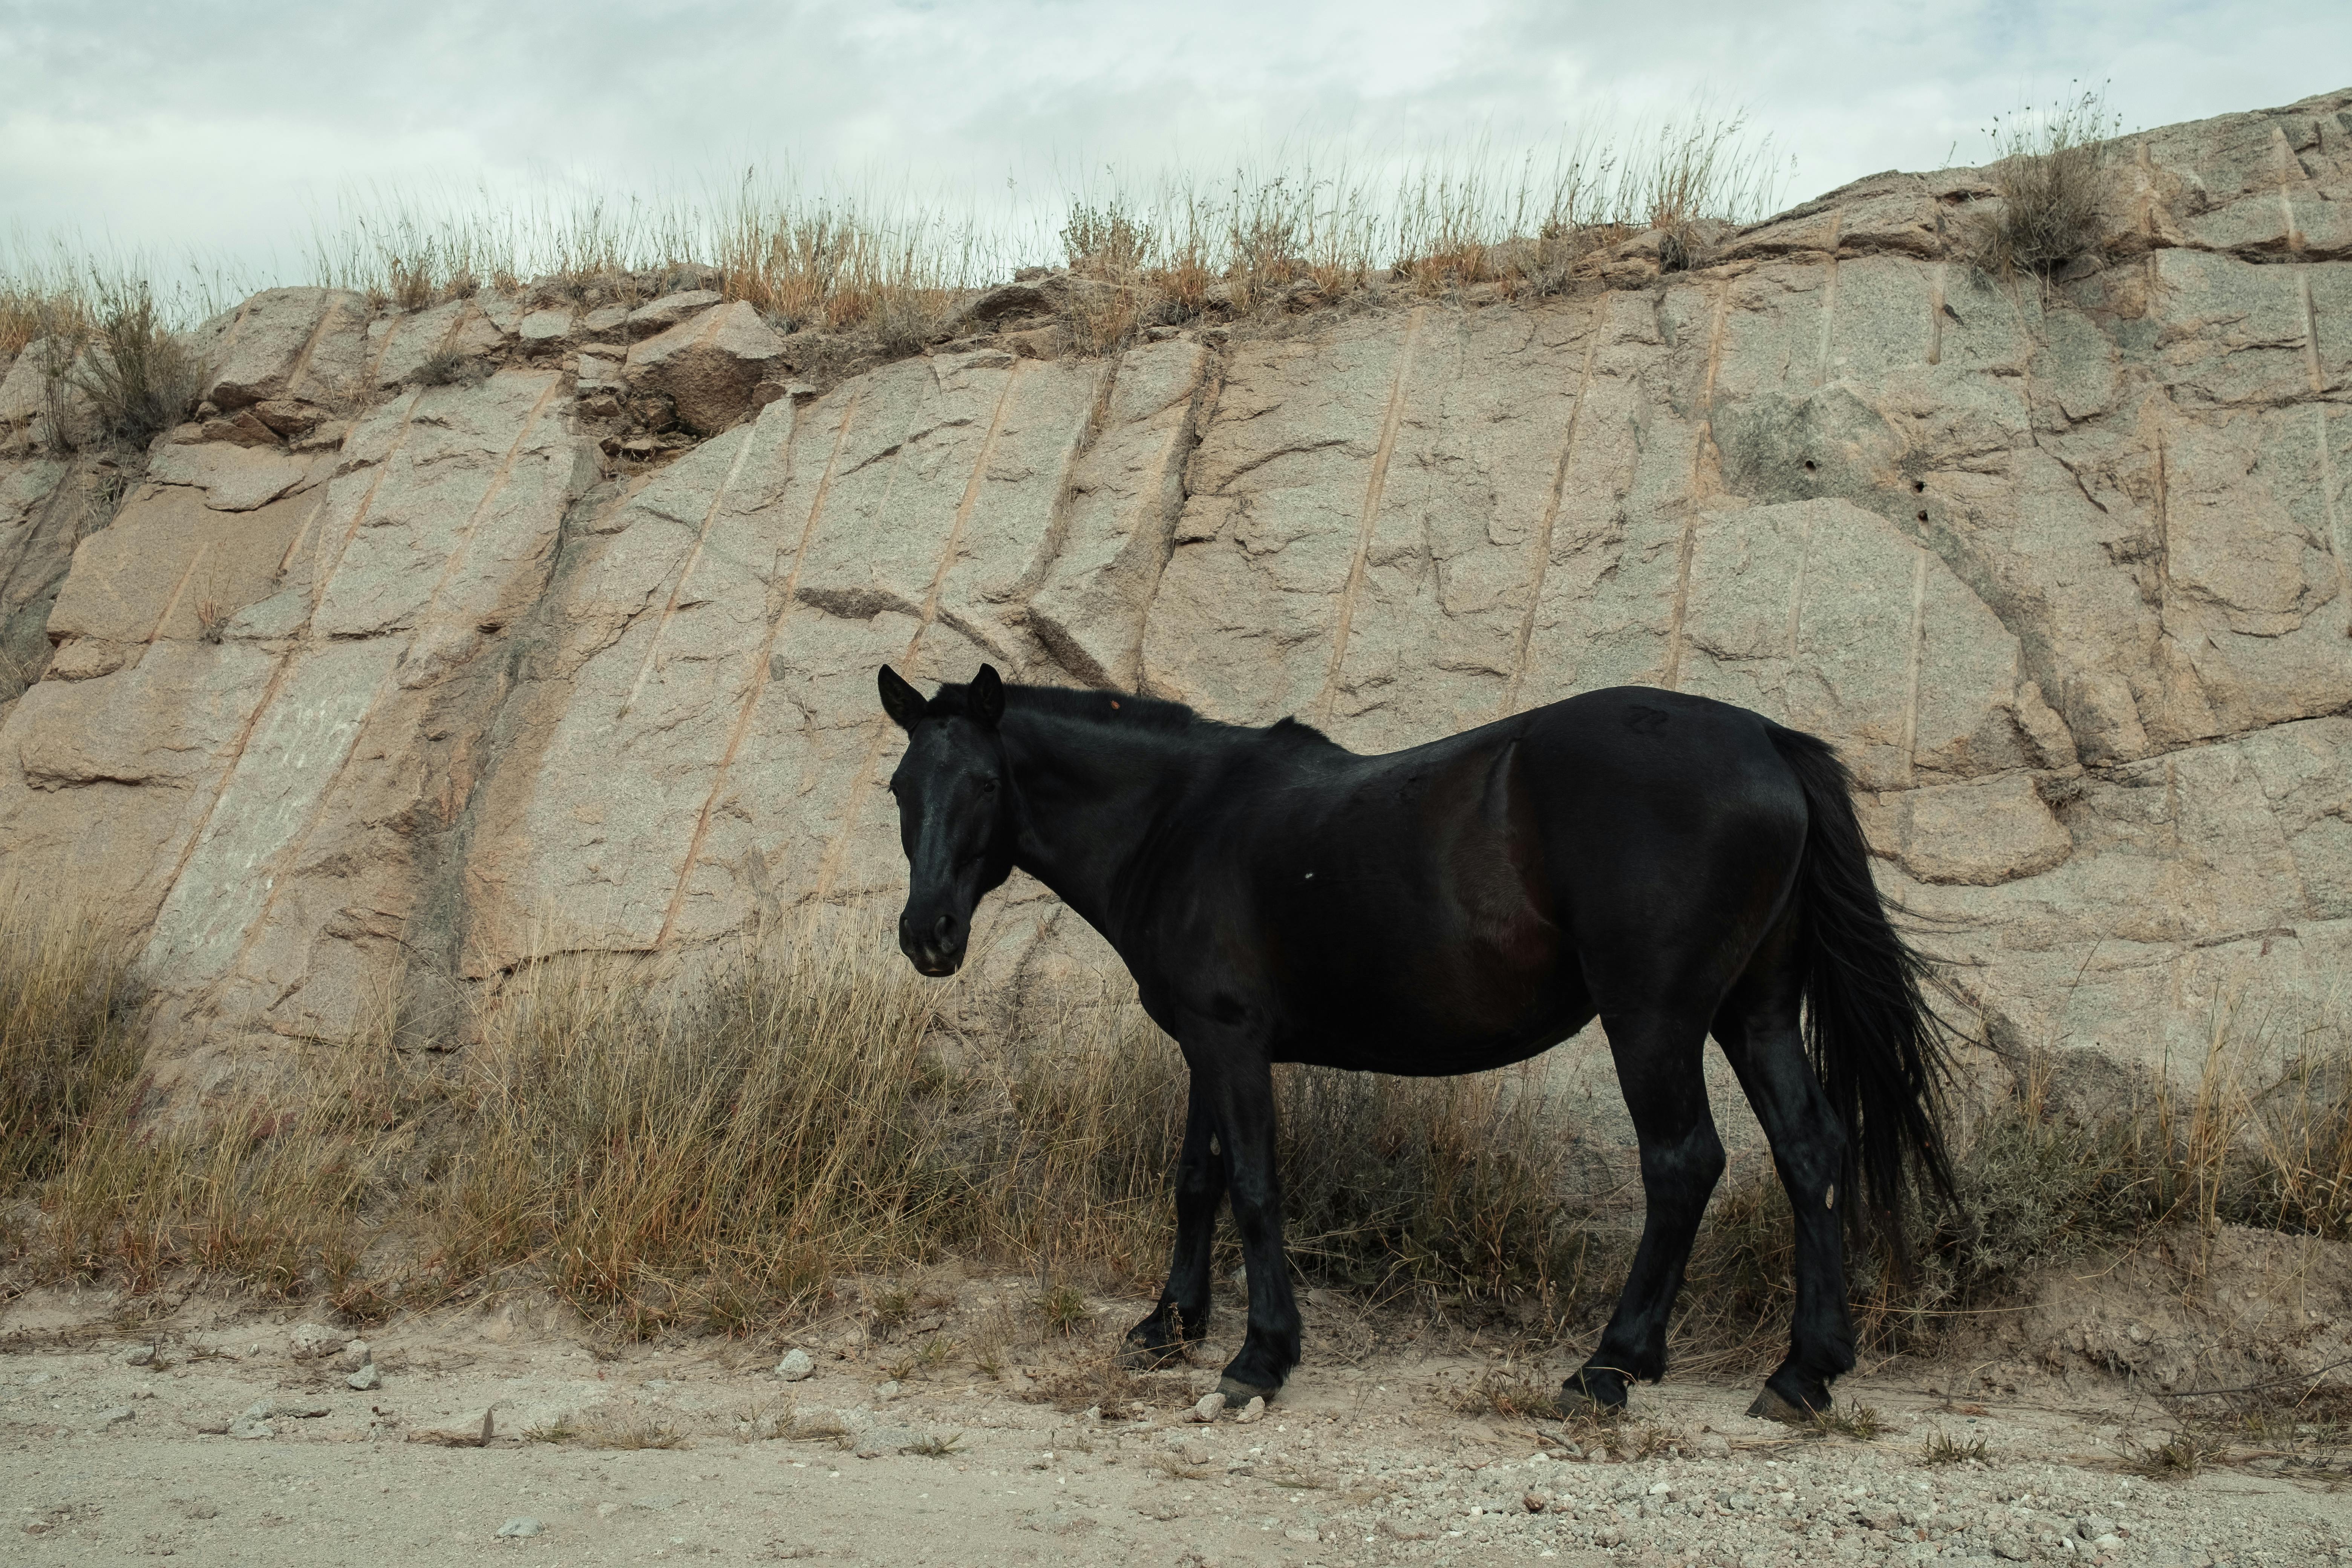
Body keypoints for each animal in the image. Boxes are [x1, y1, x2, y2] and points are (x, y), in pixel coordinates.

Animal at [875, 662, 1949, 1421]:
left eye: (985, 782)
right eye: (899, 787)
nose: (928, 934)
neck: (1183, 819)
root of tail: (1765, 739)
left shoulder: (1230, 1044)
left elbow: (1254, 1188)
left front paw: (1258, 1358)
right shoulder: (1203, 1044)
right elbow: (1197, 1178)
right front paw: (1168, 1324)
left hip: (1656, 1017)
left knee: (1684, 1162)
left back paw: (1609, 1366)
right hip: (1753, 1011)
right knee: (1809, 1149)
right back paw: (1803, 1372)